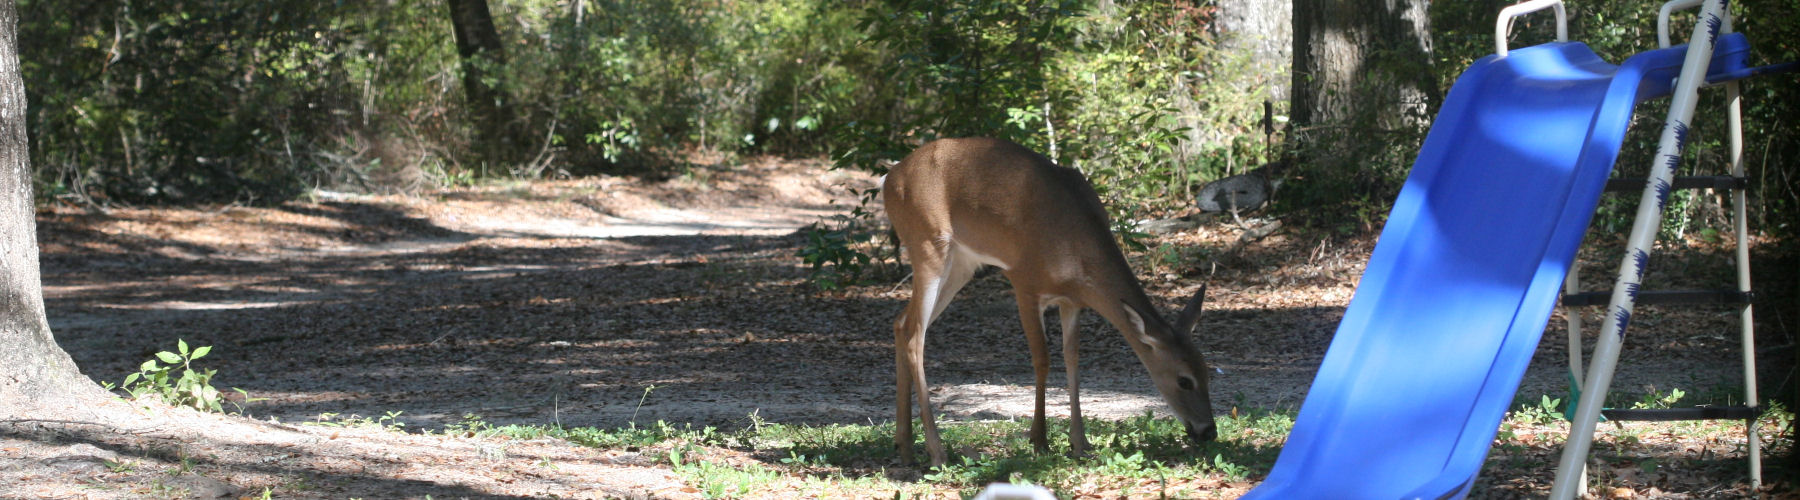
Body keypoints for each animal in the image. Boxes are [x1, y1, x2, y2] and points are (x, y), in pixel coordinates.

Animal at [882, 137, 1217, 466]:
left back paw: (904, 445)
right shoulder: (1023, 282)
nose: (1209, 431)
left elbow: (1072, 358)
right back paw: (936, 452)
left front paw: (1079, 443)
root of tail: (889, 178)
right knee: (915, 335)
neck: (1073, 251)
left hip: (962, 262)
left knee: (900, 322)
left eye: (1207, 371)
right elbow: (1042, 359)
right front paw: (1039, 440)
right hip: (927, 244)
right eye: (1184, 381)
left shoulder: (1072, 300)